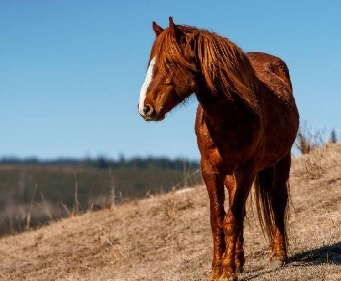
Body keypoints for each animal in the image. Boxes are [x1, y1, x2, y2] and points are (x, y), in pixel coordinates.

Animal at [137, 17, 298, 278]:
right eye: (149, 64)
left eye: (169, 62)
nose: (145, 108)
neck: (230, 115)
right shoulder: (210, 170)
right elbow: (218, 219)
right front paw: (217, 269)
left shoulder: (246, 169)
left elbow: (232, 218)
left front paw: (227, 271)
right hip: (231, 175)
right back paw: (240, 260)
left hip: (282, 160)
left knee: (276, 200)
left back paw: (277, 255)